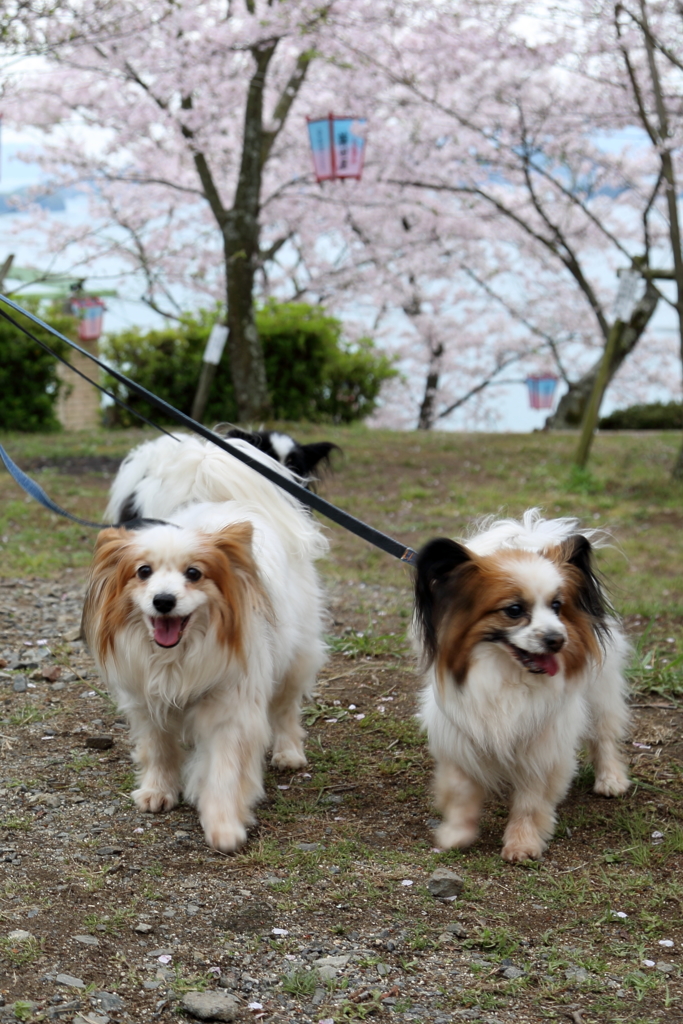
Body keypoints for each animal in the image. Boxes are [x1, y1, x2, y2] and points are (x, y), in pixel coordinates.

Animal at [82, 436, 327, 851]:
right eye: (143, 572)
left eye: (194, 574)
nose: (164, 600)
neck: (177, 657)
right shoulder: (147, 701)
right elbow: (158, 749)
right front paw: (158, 791)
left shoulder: (230, 708)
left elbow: (224, 770)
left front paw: (224, 824)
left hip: (295, 656)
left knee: (285, 709)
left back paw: (288, 752)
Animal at [411, 512, 630, 864]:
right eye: (514, 610)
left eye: (557, 606)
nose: (557, 639)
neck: (507, 676)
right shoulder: (461, 737)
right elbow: (460, 790)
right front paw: (456, 833)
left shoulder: (542, 747)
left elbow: (530, 801)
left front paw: (522, 843)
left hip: (600, 691)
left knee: (603, 735)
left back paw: (610, 779)